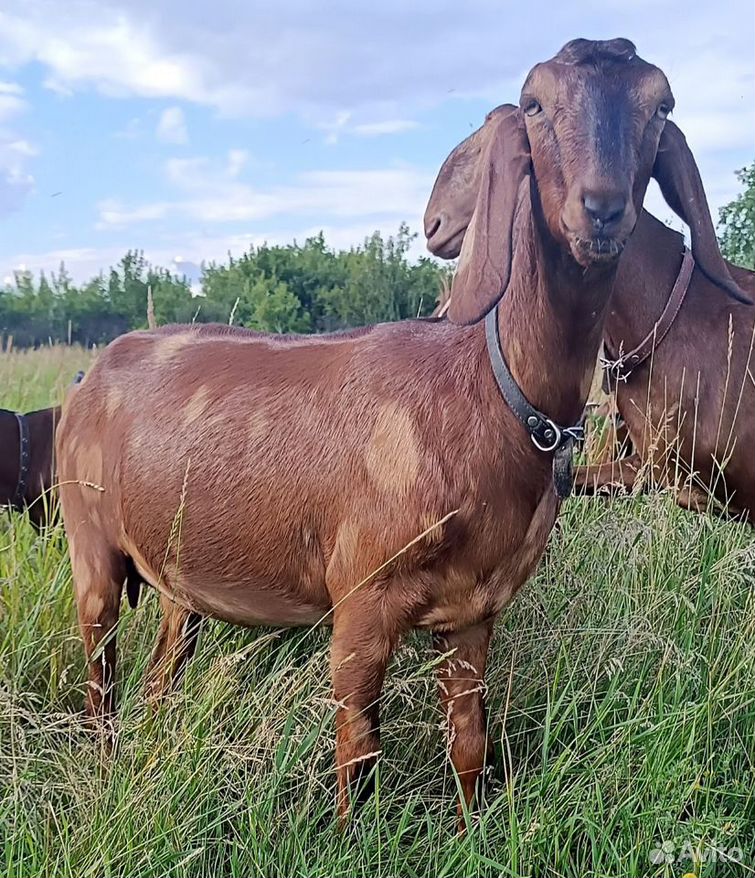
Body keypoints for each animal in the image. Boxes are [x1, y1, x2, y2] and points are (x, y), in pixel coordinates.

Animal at [60, 39, 692, 824]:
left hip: (180, 573)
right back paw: (106, 772)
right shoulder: (360, 599)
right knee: (100, 677)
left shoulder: (475, 611)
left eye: (659, 105)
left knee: (158, 674)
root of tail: (94, 371)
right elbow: (358, 755)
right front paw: (344, 835)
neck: (483, 388)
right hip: (89, 543)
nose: (602, 210)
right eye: (536, 103)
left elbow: (469, 745)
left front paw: (470, 831)